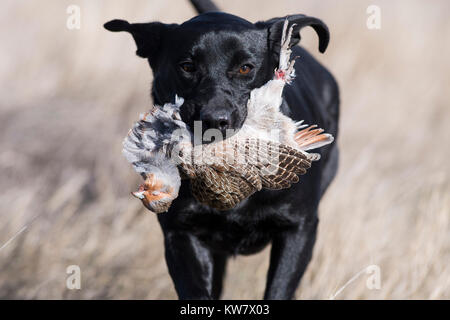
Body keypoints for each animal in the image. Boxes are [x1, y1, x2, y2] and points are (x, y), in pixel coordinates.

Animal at [104, 0, 338, 300]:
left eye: (245, 68)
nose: (215, 119)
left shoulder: (299, 229)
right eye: (187, 66)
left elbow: (278, 289)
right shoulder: (182, 233)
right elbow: (197, 290)